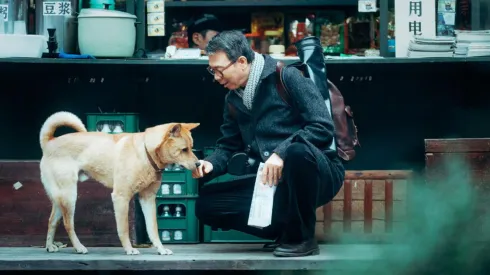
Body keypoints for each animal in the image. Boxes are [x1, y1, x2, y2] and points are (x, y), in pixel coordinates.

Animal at [37, 112, 200, 256]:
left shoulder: (147, 199)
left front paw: (161, 249)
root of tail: (49, 142)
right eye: (184, 149)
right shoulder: (121, 197)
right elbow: (124, 228)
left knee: (52, 221)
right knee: (68, 224)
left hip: (60, 198)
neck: (145, 152)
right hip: (69, 196)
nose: (199, 164)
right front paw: (129, 249)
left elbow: (153, 228)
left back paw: (50, 246)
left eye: (191, 147)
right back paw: (79, 247)